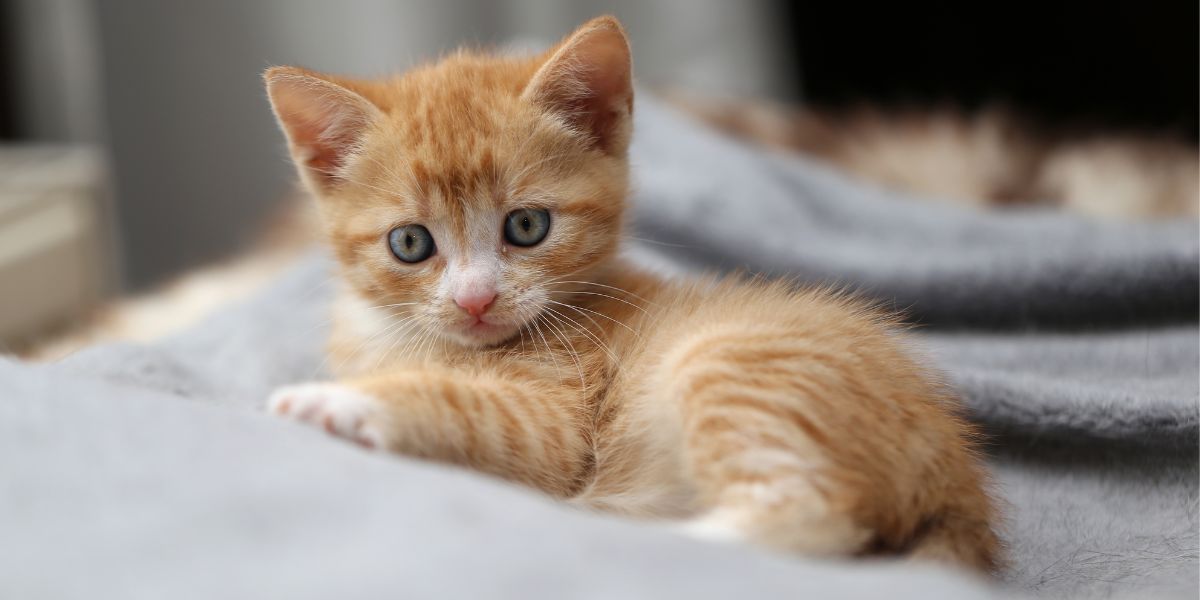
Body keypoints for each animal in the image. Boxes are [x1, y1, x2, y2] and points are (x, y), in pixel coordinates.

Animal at [265, 15, 1003, 571]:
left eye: (526, 227)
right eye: (411, 244)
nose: (476, 301)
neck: (405, 338)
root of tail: (955, 476)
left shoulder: (555, 418)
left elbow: (463, 406)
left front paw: (339, 401)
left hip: (730, 365)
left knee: (816, 519)